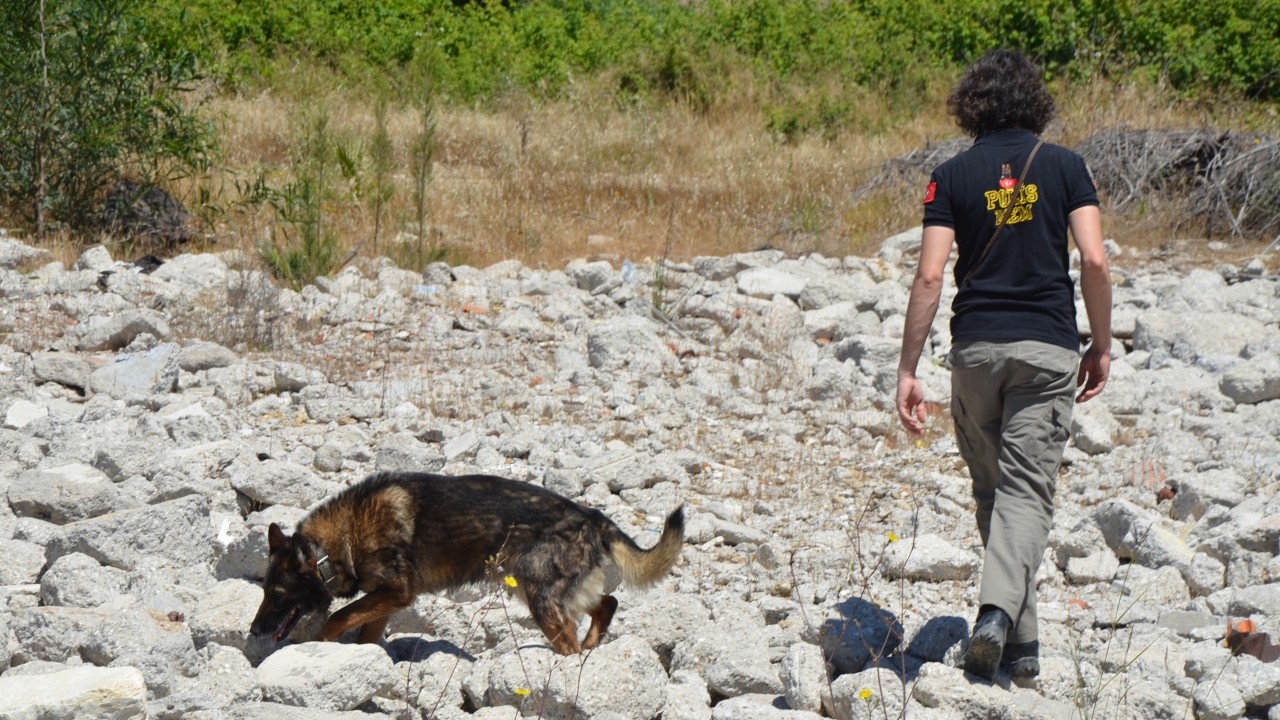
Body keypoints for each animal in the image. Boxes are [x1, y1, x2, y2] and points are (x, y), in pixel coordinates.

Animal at [252, 468, 691, 653]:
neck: (333, 547)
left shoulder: (395, 593)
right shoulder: (385, 601)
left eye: (277, 593)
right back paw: (591, 645)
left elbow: (337, 618)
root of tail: (592, 516)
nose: (254, 631)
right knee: (607, 604)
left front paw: (322, 644)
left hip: (539, 596)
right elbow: (364, 633)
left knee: (571, 635)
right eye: (264, 590)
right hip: (546, 589)